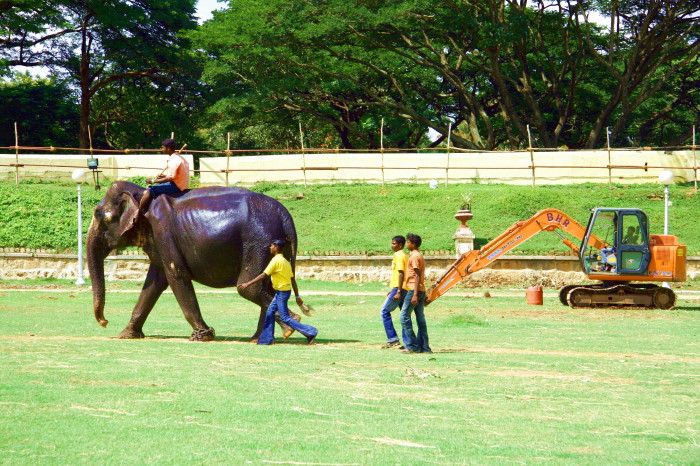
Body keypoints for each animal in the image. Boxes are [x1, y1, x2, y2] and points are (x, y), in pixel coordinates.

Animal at [87, 180, 300, 340]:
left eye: (99, 215)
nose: (105, 322)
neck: (141, 195)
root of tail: (286, 217)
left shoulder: (163, 230)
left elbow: (176, 275)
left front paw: (203, 336)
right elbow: (155, 281)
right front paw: (126, 334)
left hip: (260, 241)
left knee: (249, 287)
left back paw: (289, 326)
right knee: (267, 286)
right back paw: (261, 337)